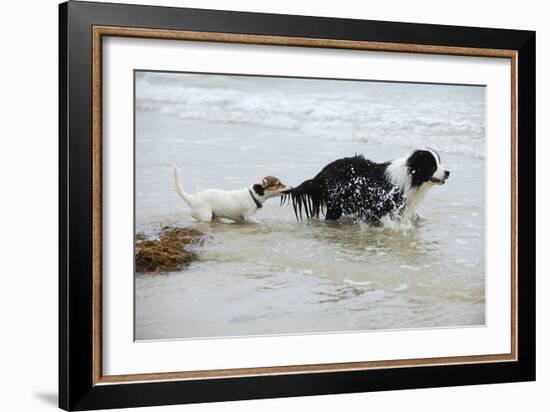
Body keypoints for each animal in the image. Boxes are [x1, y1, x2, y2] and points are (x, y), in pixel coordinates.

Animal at [282, 150, 450, 224]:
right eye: (432, 166)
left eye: (439, 163)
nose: (448, 172)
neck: (411, 176)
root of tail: (321, 174)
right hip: (337, 203)